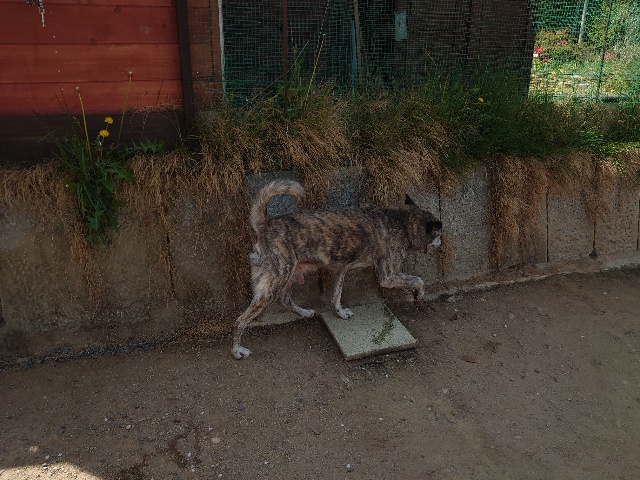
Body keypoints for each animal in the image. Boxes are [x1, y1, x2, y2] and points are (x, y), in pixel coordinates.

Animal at [232, 179, 442, 359]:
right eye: (439, 234)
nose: (441, 243)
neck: (402, 221)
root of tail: (264, 226)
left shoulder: (340, 270)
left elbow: (335, 296)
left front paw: (340, 313)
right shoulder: (388, 277)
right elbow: (418, 280)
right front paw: (419, 295)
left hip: (292, 275)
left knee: (284, 299)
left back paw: (304, 312)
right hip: (272, 284)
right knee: (240, 320)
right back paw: (237, 350)